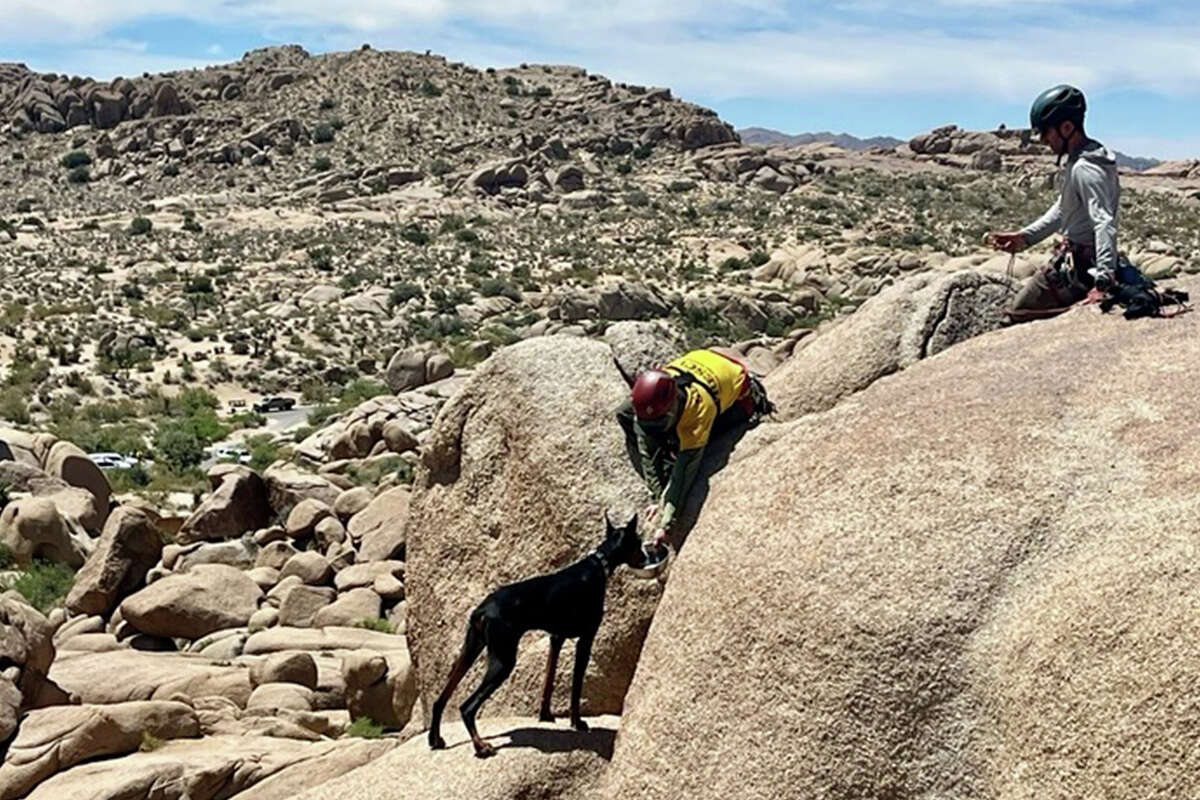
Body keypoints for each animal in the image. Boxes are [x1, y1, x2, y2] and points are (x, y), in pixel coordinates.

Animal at [427, 513, 643, 758]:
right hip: (503, 661)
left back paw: (435, 738)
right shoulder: (585, 640)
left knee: (441, 698)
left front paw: (546, 715)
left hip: (471, 649)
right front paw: (577, 723)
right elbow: (576, 686)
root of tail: (482, 609)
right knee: (467, 707)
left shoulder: (556, 638)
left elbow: (548, 679)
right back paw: (481, 746)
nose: (647, 556)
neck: (599, 565)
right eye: (639, 542)